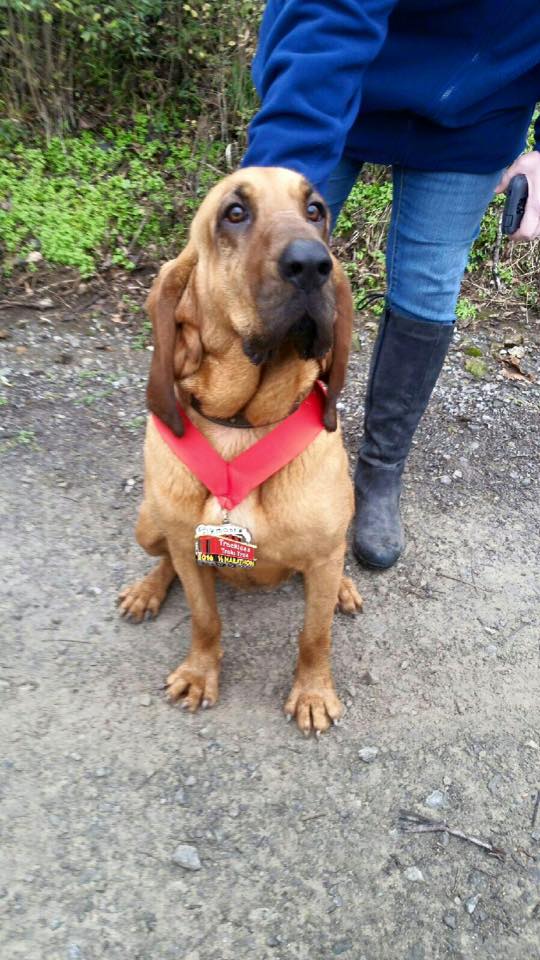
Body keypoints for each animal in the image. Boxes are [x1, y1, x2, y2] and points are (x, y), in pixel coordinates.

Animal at [119, 167, 362, 736]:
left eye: (315, 210)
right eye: (234, 213)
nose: (312, 264)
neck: (244, 424)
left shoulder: (323, 554)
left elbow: (314, 636)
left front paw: (313, 693)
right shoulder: (187, 545)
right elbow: (204, 619)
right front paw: (198, 674)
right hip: (148, 523)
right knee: (165, 560)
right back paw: (147, 589)